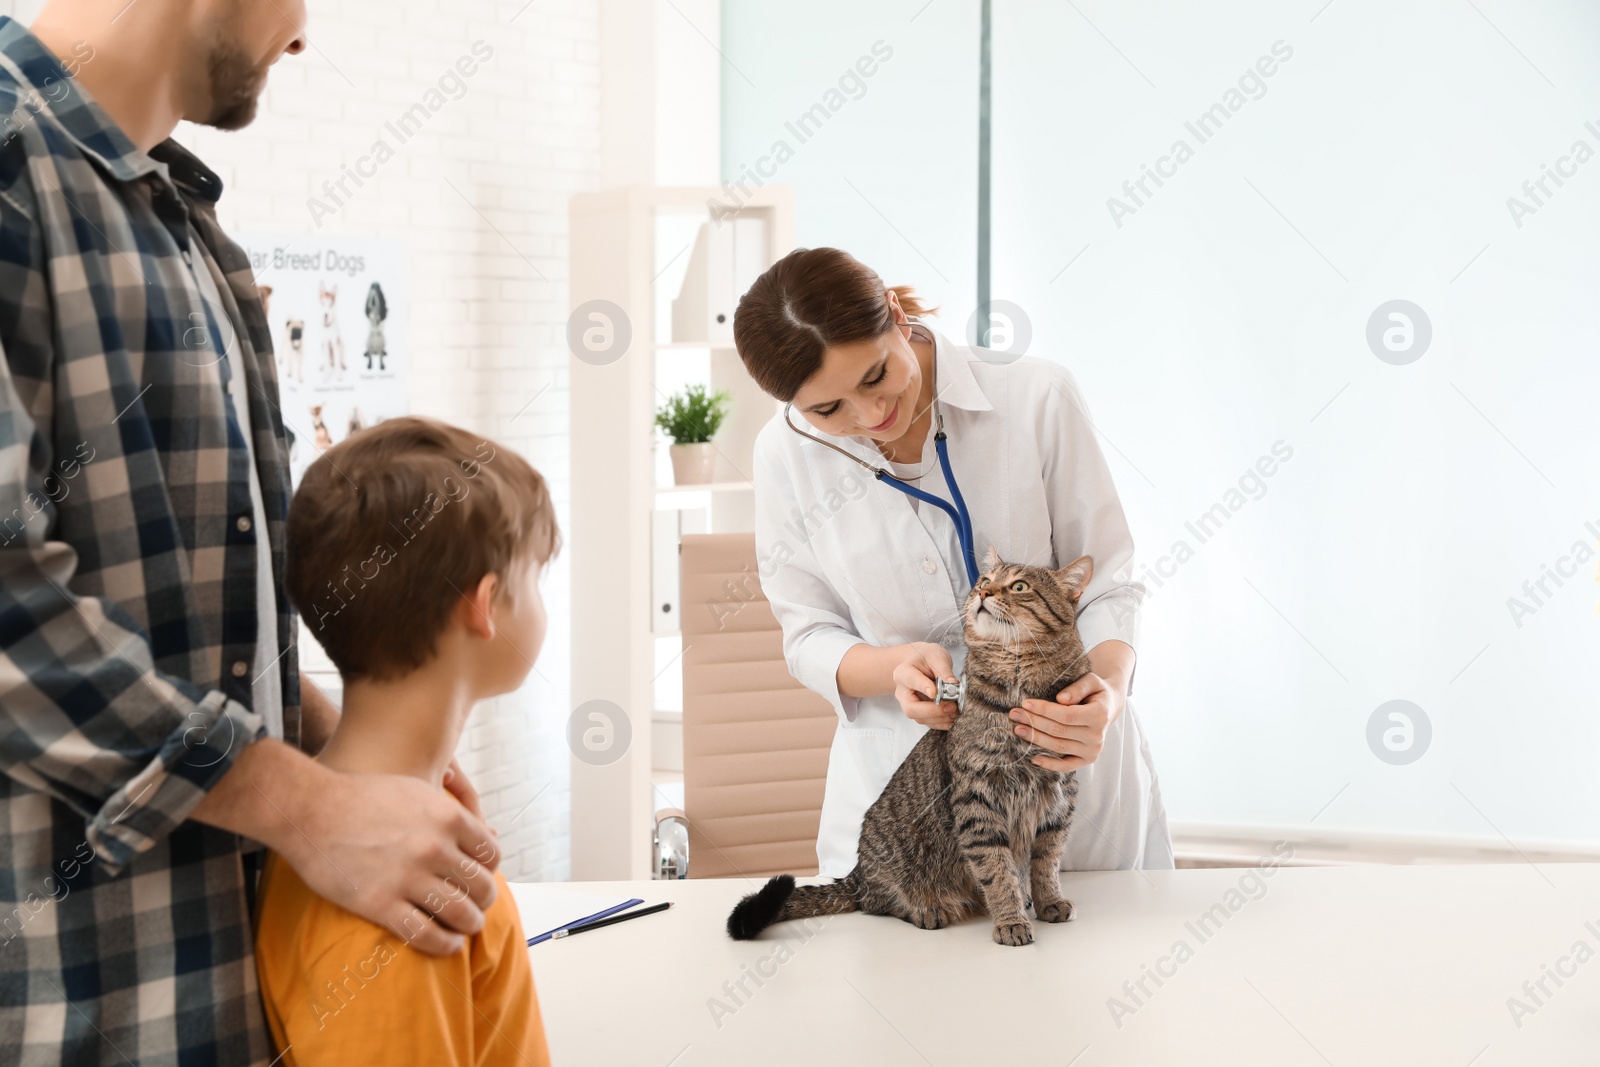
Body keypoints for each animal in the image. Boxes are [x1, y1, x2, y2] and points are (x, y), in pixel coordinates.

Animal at [729, 547, 1094, 947]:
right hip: (890, 866)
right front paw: (1010, 919)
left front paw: (1048, 900)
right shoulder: (978, 799)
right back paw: (926, 908)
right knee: (877, 903)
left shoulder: (1060, 794)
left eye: (1019, 586)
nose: (983, 592)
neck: (1018, 680)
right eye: (984, 581)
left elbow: (1047, 862)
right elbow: (997, 869)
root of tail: (857, 874)